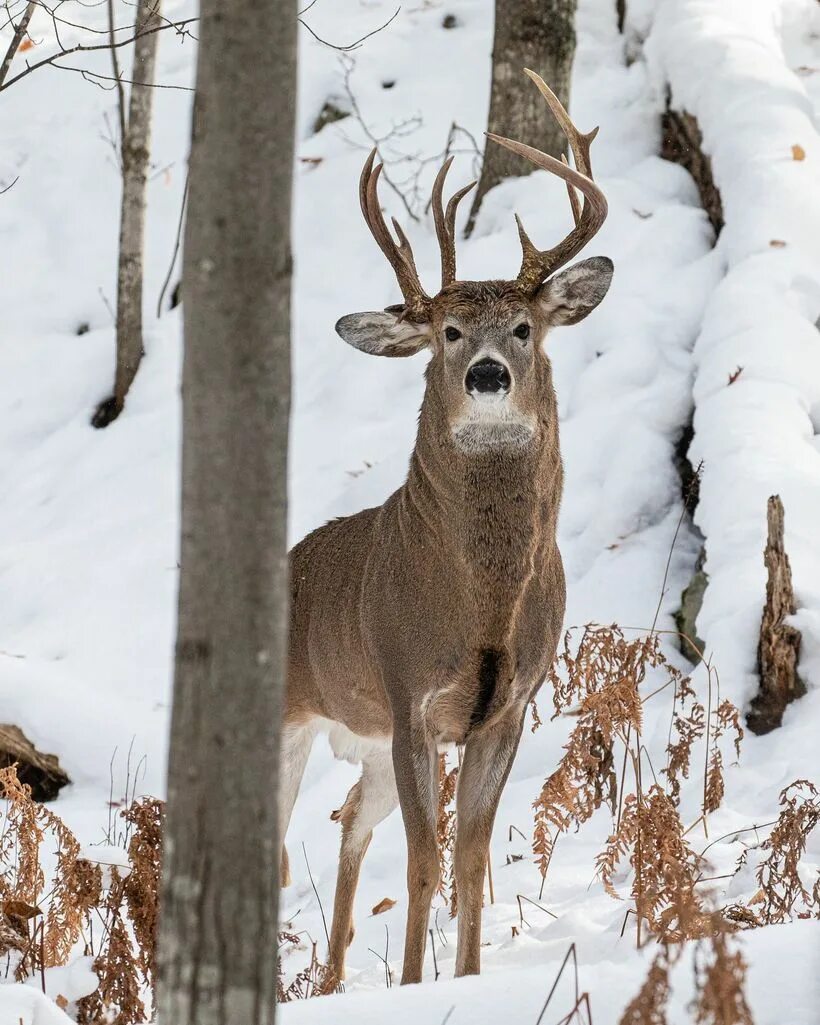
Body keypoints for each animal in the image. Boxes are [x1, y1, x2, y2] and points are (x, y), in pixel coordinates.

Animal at [282, 72, 606, 984]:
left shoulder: (509, 706)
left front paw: (462, 978)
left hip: (366, 743)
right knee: (277, 844)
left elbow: (469, 856)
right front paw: (416, 986)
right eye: (448, 331)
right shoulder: (408, 696)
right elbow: (425, 862)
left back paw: (331, 980)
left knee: (349, 820)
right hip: (292, 714)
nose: (487, 374)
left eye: (525, 327)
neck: (480, 607)